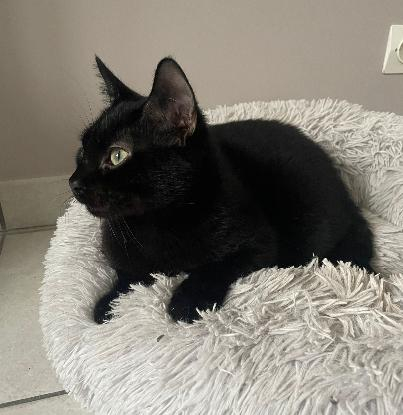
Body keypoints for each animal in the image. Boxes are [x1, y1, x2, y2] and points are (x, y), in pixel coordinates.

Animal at [69, 56, 374, 324]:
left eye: (117, 155)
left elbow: (215, 267)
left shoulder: (259, 243)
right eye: (82, 150)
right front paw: (110, 302)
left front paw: (187, 301)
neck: (154, 221)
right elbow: (127, 275)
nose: (74, 182)